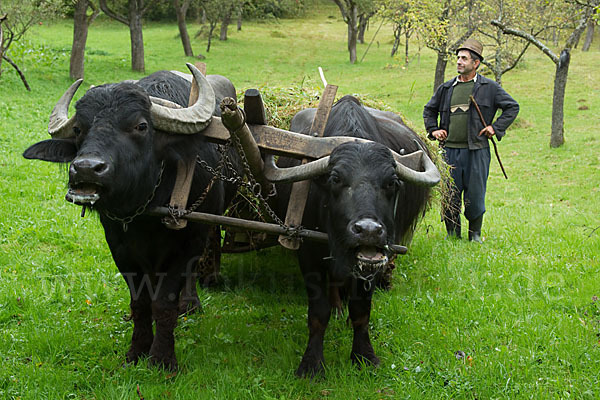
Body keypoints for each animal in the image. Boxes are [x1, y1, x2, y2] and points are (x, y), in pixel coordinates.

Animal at [23, 64, 239, 370]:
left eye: (141, 126)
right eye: (78, 128)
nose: (86, 168)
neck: (144, 214)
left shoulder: (186, 244)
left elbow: (164, 302)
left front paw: (162, 359)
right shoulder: (120, 247)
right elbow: (140, 302)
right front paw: (136, 351)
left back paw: (191, 302)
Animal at [274, 95, 438, 376]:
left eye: (392, 182)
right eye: (335, 179)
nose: (368, 231)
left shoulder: (371, 262)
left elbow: (362, 310)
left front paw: (364, 356)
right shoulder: (308, 254)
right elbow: (318, 312)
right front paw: (311, 364)